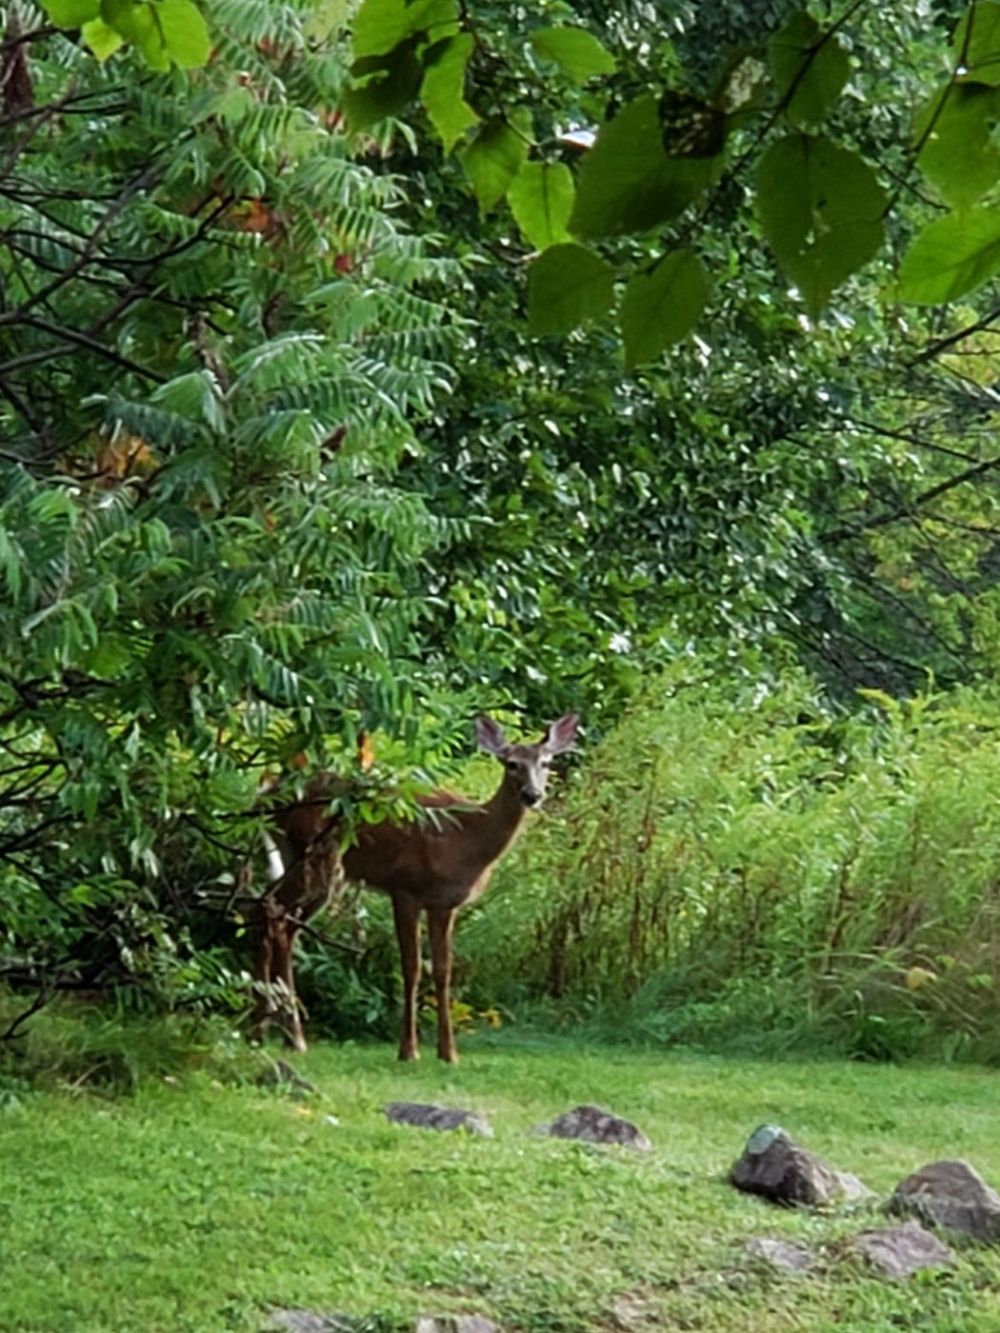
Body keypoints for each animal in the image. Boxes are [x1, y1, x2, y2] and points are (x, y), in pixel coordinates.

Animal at [255, 712, 578, 1061]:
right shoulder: (405, 888)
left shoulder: (445, 903)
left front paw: (448, 1053)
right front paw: (408, 1050)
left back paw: (271, 1030)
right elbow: (411, 967)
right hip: (315, 858)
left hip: (309, 866)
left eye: (546, 763)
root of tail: (266, 794)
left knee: (276, 919)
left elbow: (443, 970)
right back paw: (284, 1032)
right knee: (270, 911)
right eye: (511, 764)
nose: (533, 795)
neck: (466, 839)